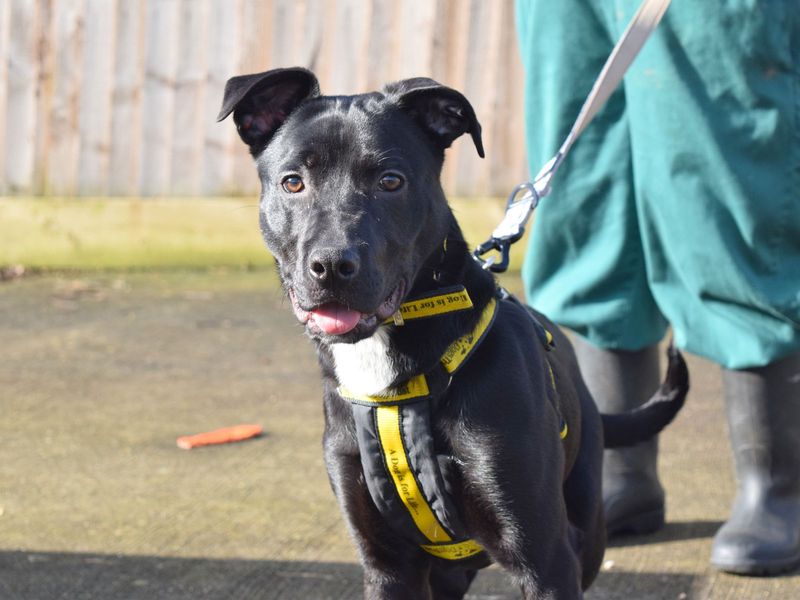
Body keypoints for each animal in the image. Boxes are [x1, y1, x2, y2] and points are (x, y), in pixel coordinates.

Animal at [219, 68, 688, 596]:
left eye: (390, 181)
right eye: (293, 182)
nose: (332, 265)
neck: (392, 375)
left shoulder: (545, 559)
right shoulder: (385, 565)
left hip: (585, 532)